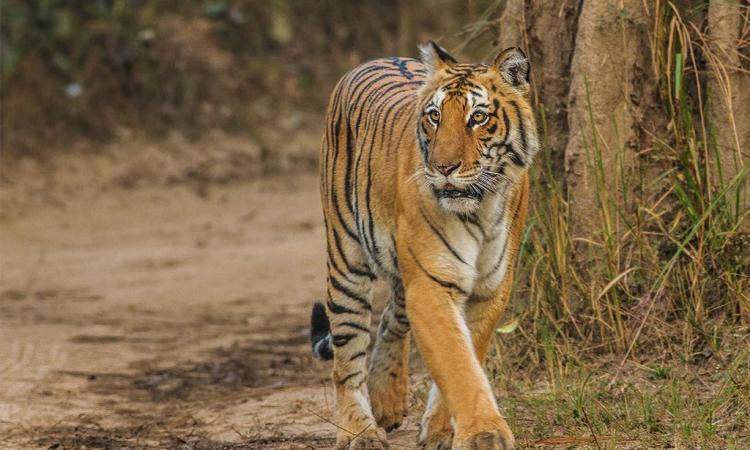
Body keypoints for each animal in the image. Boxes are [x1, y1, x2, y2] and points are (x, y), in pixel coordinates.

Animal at [312, 42, 540, 450]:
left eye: (478, 117)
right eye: (434, 117)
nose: (443, 167)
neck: (480, 209)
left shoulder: (490, 287)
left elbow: (468, 353)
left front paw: (441, 431)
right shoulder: (431, 284)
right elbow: (456, 361)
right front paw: (483, 433)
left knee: (391, 317)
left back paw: (386, 401)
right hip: (346, 259)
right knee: (346, 358)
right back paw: (360, 432)